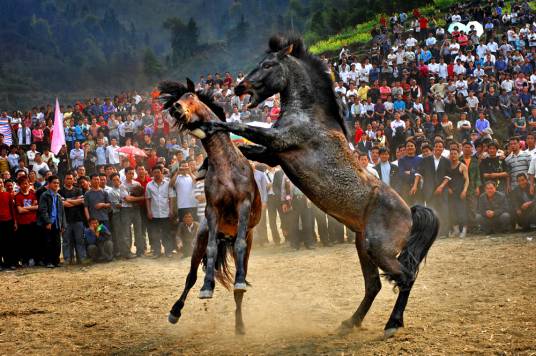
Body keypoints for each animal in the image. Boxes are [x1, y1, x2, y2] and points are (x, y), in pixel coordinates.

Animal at [159, 79, 262, 336]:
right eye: (178, 98)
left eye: (190, 97)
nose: (175, 107)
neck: (225, 166)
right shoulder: (213, 210)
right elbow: (212, 249)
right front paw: (207, 287)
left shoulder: (244, 205)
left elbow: (240, 245)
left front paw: (239, 282)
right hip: (200, 238)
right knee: (191, 276)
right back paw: (176, 310)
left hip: (248, 243)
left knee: (238, 286)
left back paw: (239, 322)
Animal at [193, 36, 440, 340]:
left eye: (267, 64)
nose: (240, 87)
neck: (309, 114)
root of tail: (410, 212)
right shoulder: (274, 154)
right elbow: (245, 147)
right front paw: (203, 165)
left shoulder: (279, 140)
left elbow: (241, 127)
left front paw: (206, 124)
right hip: (364, 248)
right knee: (374, 285)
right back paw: (350, 322)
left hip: (379, 249)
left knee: (406, 277)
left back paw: (392, 324)